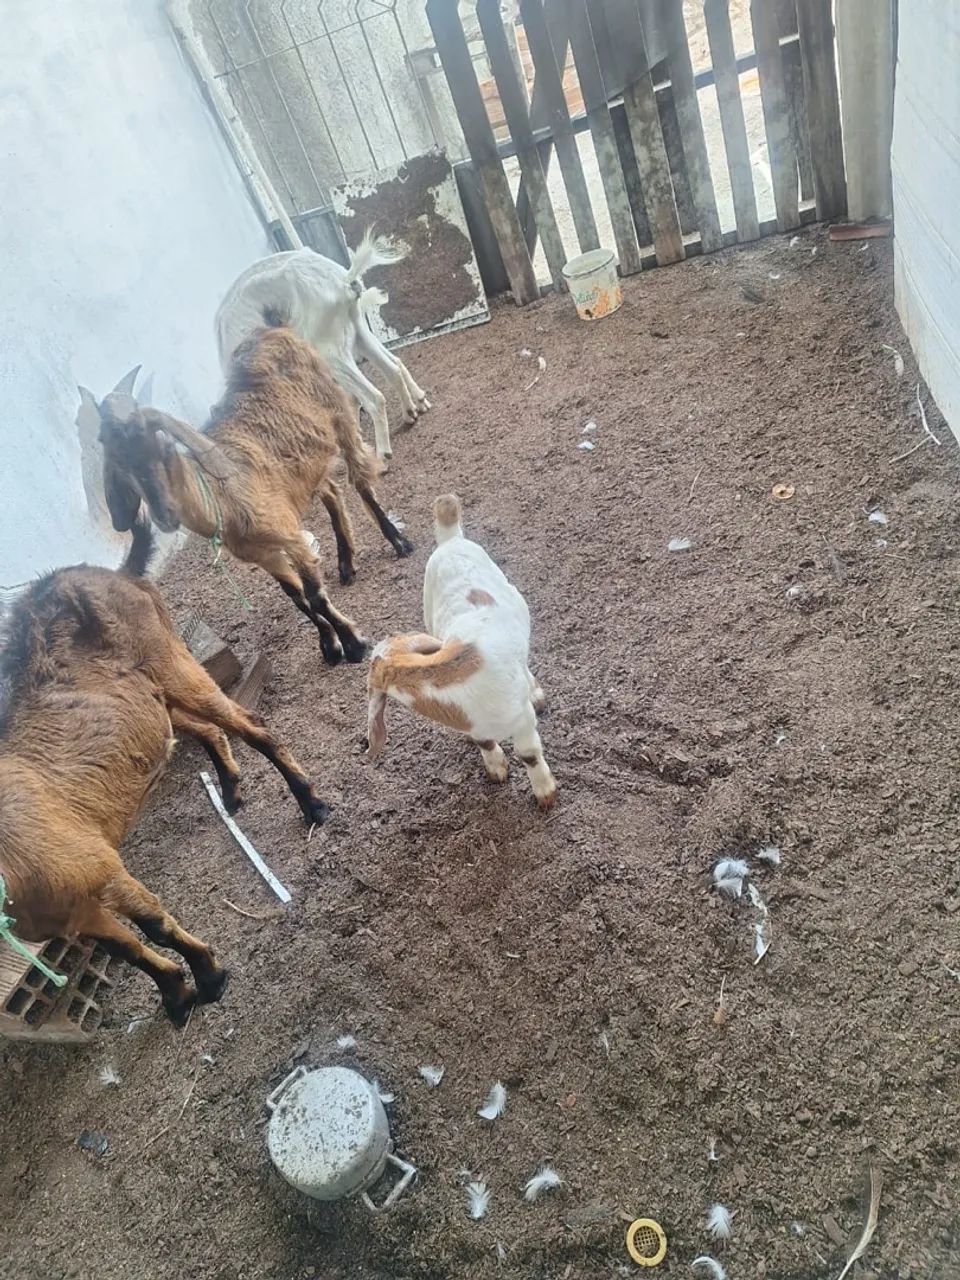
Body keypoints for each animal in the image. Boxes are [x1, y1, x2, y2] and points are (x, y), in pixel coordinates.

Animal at [0, 520, 330, 1024]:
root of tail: (117, 573)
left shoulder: (96, 866)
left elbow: (154, 926)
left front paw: (209, 978)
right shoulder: (70, 909)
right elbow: (125, 949)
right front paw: (176, 993)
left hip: (171, 660)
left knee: (250, 726)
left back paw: (311, 804)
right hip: (153, 696)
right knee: (204, 730)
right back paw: (231, 791)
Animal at [95, 327, 412, 668]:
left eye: (164, 446)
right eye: (120, 467)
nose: (164, 514)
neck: (223, 498)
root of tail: (269, 331)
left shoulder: (289, 536)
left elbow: (314, 597)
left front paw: (353, 645)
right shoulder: (264, 555)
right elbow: (298, 599)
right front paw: (329, 646)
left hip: (338, 413)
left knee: (360, 480)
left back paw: (398, 542)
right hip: (303, 462)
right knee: (331, 491)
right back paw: (346, 565)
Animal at [215, 231, 430, 462]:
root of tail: (342, 280)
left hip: (329, 352)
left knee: (374, 397)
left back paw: (383, 454)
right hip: (359, 334)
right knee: (393, 369)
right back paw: (412, 410)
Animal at [367, 495, 556, 808]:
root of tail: (450, 540)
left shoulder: (522, 719)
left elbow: (528, 753)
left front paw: (545, 793)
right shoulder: (473, 725)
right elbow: (485, 743)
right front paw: (496, 770)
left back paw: (535, 692)